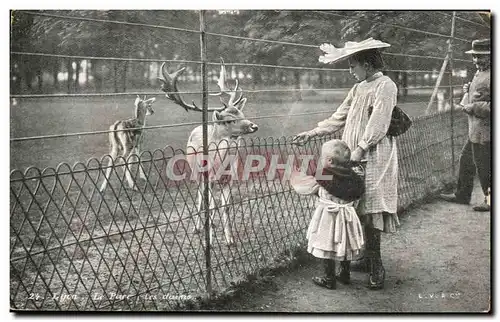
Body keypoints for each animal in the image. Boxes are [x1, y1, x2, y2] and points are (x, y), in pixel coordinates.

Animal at [159, 59, 260, 245]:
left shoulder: (231, 179)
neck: (220, 165)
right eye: (229, 120)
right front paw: (210, 241)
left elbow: (226, 207)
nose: (254, 126)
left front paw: (230, 239)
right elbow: (211, 207)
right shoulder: (209, 178)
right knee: (200, 197)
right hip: (195, 171)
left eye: (242, 113)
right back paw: (198, 227)